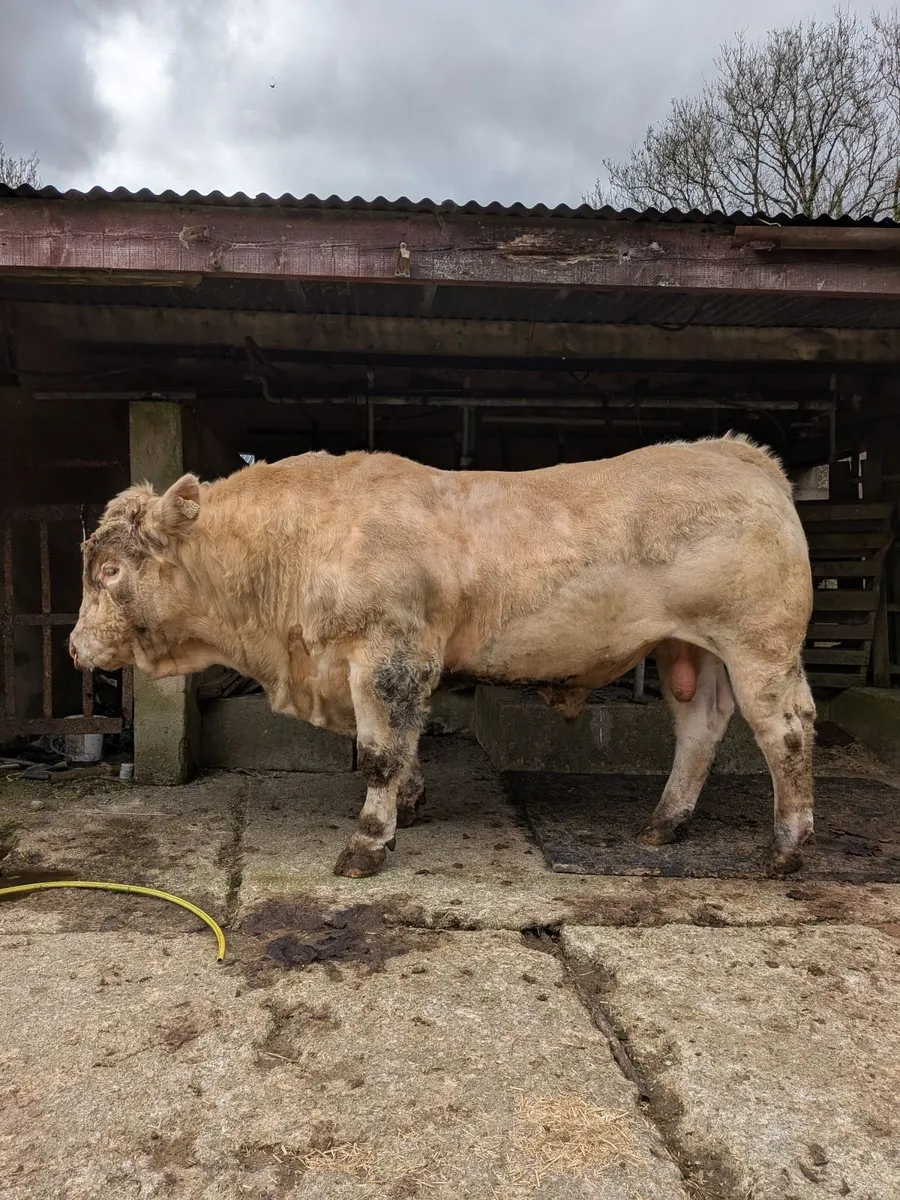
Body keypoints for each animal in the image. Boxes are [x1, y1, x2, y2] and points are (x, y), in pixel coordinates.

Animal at [70, 433, 816, 878]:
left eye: (109, 569)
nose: (76, 647)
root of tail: (739, 454)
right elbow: (400, 746)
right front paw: (411, 800)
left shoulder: (390, 655)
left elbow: (379, 752)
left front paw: (368, 843)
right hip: (689, 648)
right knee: (700, 727)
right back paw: (664, 825)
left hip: (760, 644)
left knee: (786, 733)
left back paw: (785, 847)